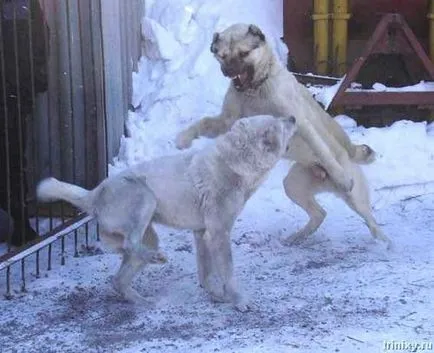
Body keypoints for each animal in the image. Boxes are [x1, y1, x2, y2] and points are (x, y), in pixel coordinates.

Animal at [37, 114, 296, 310]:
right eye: (279, 122)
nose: (293, 117)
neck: (235, 162)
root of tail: (94, 193)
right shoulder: (219, 233)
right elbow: (228, 272)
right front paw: (239, 300)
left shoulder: (201, 233)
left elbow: (206, 272)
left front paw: (215, 293)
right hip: (145, 198)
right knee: (131, 245)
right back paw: (156, 259)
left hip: (147, 236)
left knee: (119, 278)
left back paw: (144, 300)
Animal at [175, 22, 392, 248]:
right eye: (223, 55)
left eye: (244, 53)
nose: (228, 71)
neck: (255, 89)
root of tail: (349, 153)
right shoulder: (227, 121)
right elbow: (202, 123)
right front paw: (184, 138)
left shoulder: (301, 124)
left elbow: (322, 151)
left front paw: (342, 178)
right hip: (293, 185)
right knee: (320, 214)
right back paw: (297, 237)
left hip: (355, 199)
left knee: (372, 224)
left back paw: (386, 244)